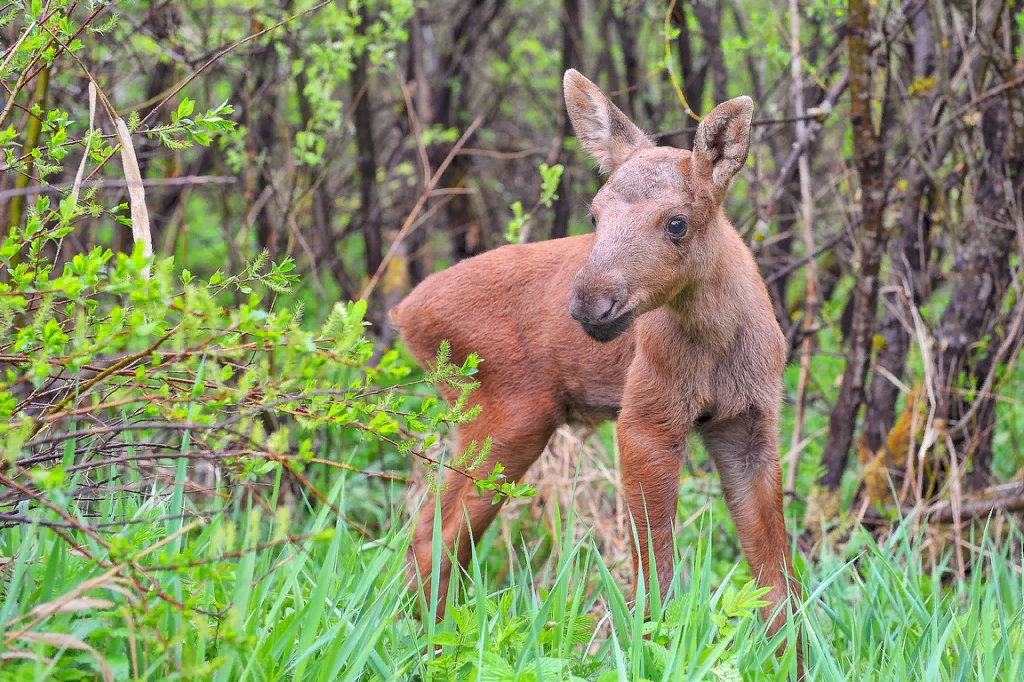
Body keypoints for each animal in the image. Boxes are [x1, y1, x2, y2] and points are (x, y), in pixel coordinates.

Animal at [391, 69, 798, 655]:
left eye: (677, 223)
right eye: (595, 214)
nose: (590, 303)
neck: (722, 342)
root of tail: (405, 313)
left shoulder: (749, 424)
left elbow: (776, 581)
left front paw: (791, 661)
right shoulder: (645, 419)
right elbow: (655, 572)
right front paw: (648, 650)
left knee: (432, 532)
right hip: (511, 414)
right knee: (436, 533)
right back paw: (432, 646)